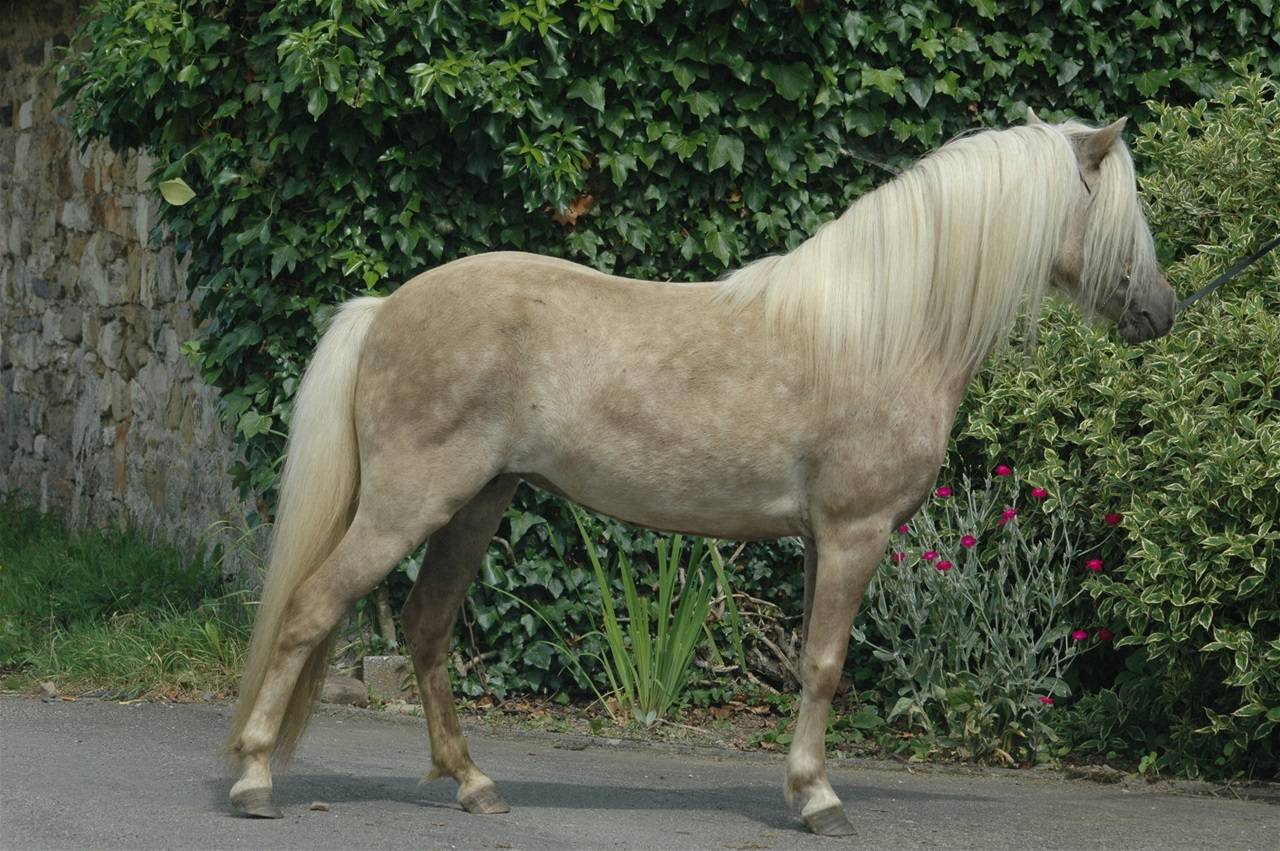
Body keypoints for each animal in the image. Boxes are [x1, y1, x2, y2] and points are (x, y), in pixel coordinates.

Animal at [224, 111, 1175, 836]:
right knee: (311, 609)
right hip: (408, 504)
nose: (1162, 312)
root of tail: (385, 307)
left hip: (473, 506)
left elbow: (813, 662)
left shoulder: (820, 542)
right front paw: (819, 801)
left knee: (425, 629)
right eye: (1119, 217)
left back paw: (473, 783)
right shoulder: (855, 532)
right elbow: (825, 664)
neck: (883, 329)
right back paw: (256, 779)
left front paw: (804, 787)